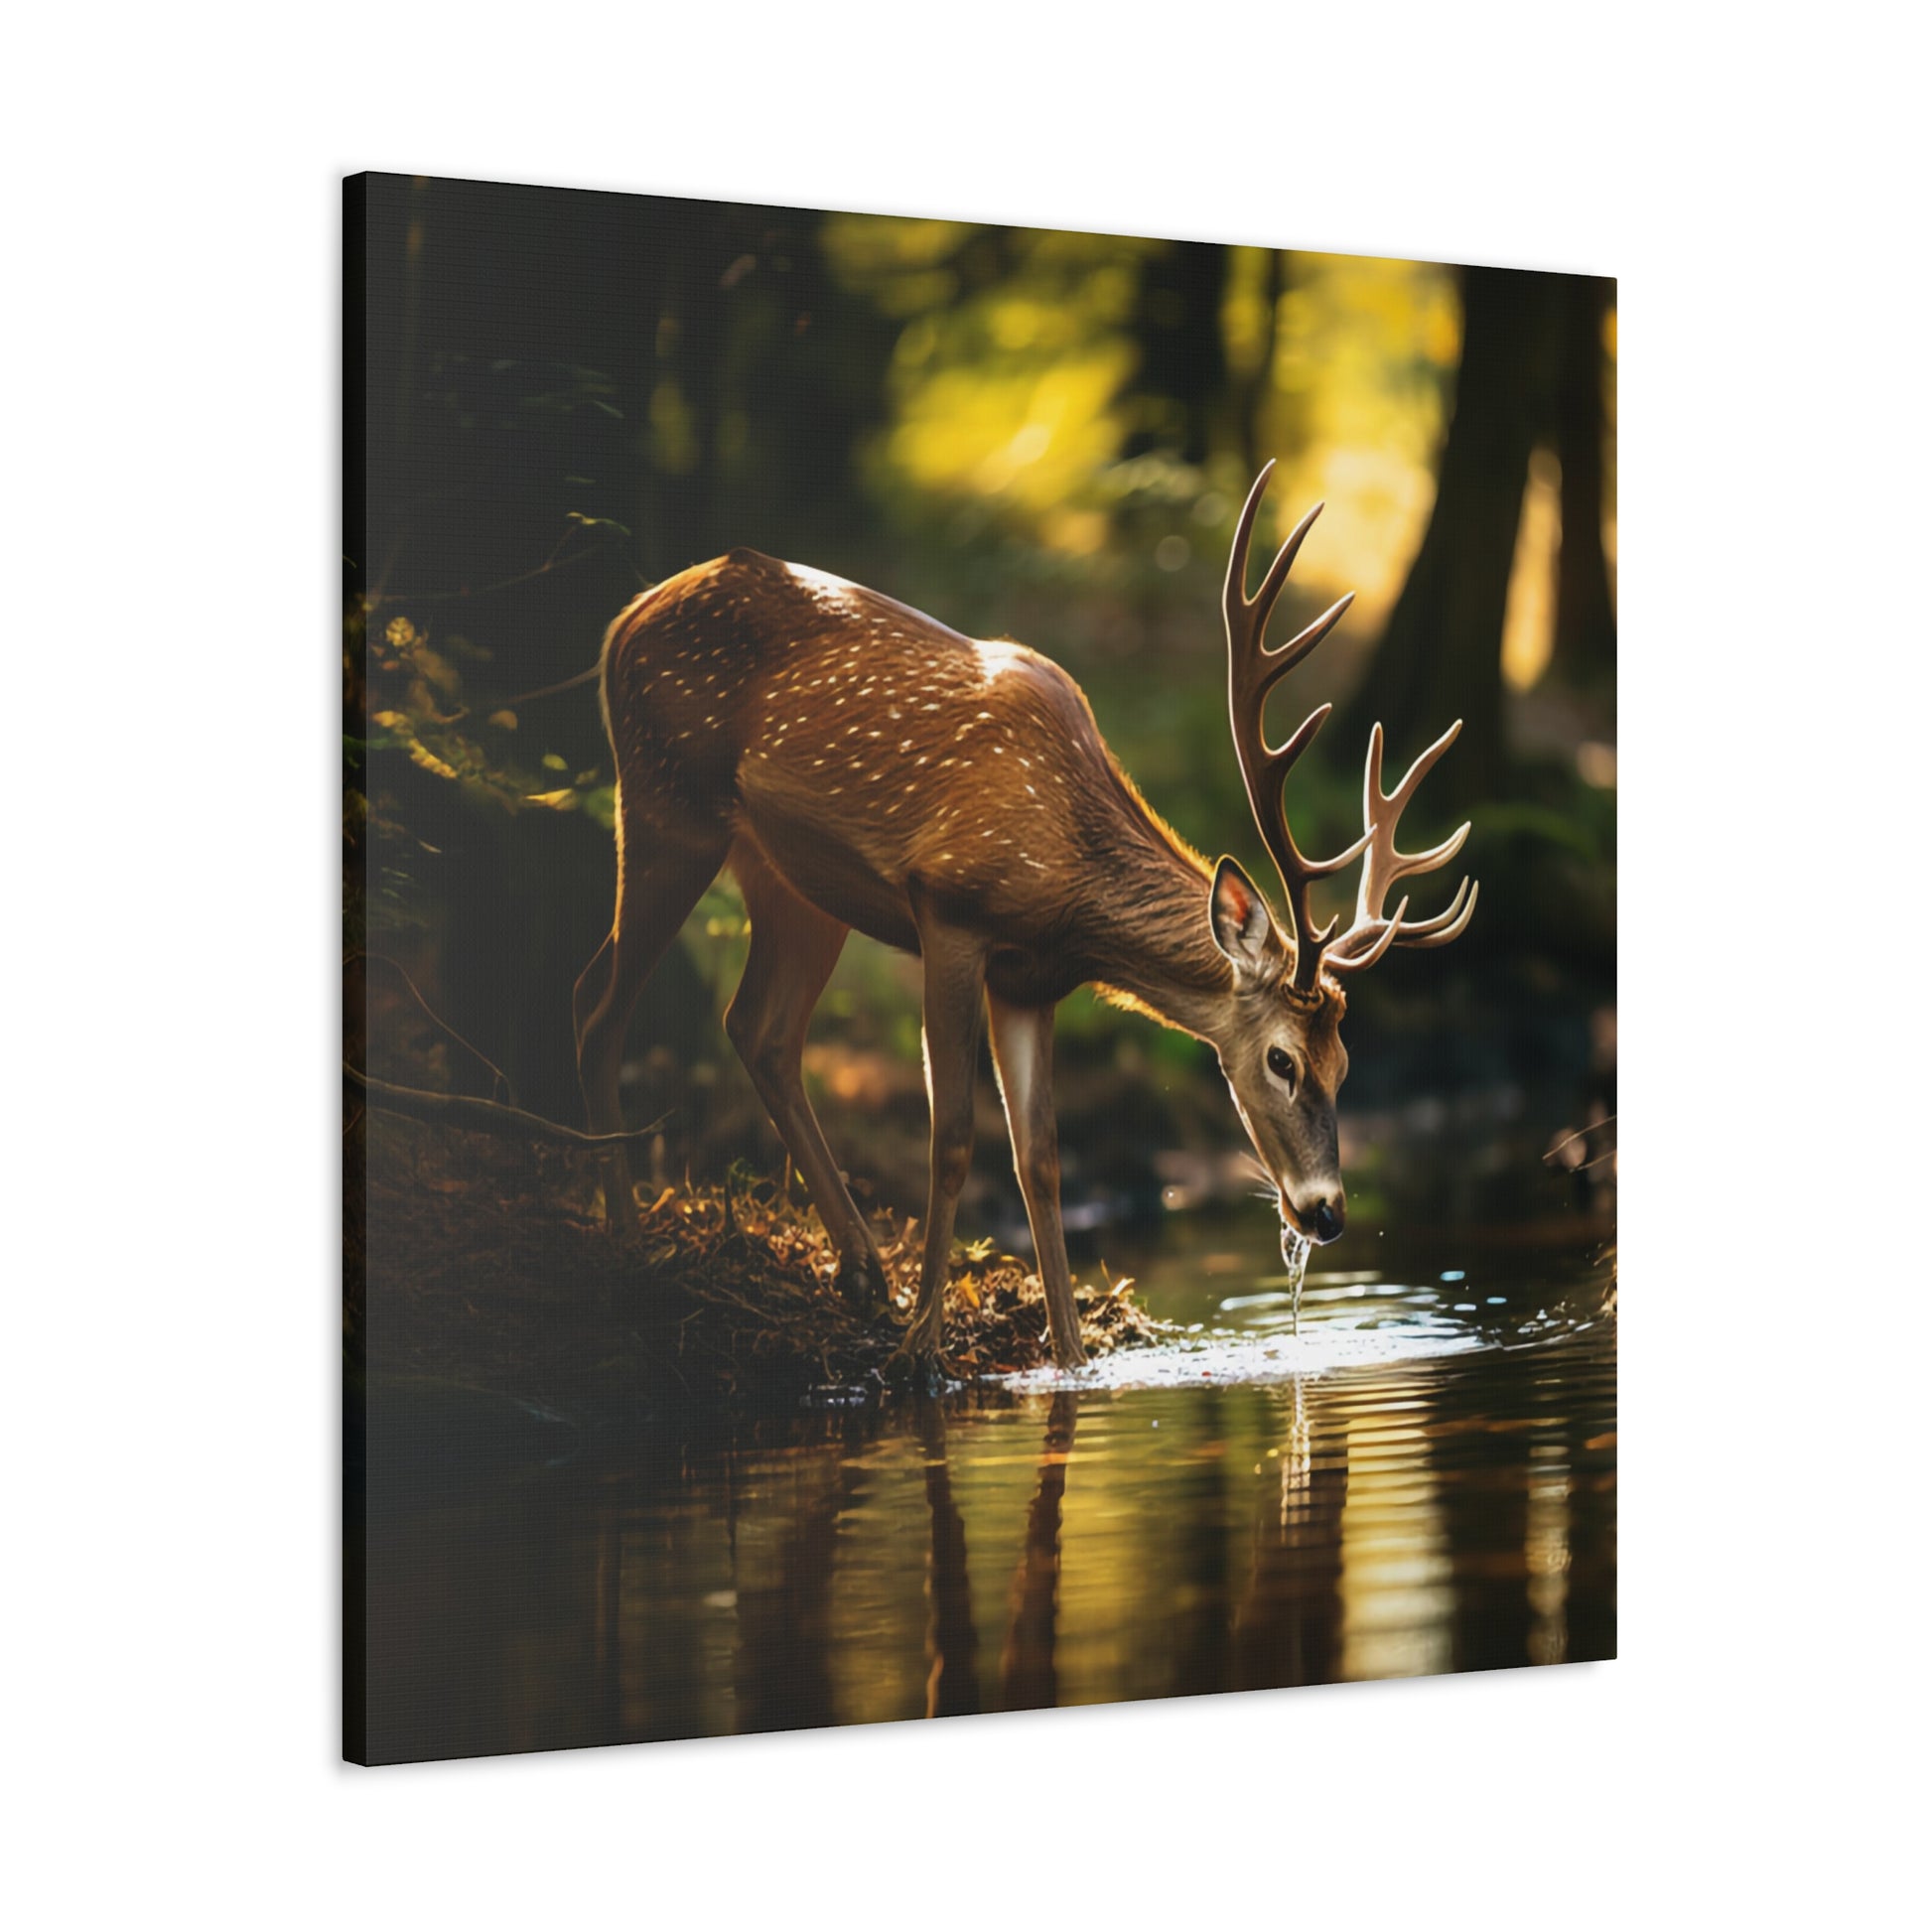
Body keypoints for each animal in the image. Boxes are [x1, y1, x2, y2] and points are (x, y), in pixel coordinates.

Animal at [573, 461, 1476, 1372]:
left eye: (1346, 1063)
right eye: (1282, 1060)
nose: (1326, 1213)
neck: (1066, 886)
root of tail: (620, 622)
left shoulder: (1031, 981)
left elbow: (1040, 1157)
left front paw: (1070, 1355)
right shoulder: (948, 911)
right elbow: (952, 1136)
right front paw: (920, 1349)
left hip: (791, 878)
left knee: (751, 1024)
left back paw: (859, 1271)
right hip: (666, 799)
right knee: (601, 1005)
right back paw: (627, 1239)